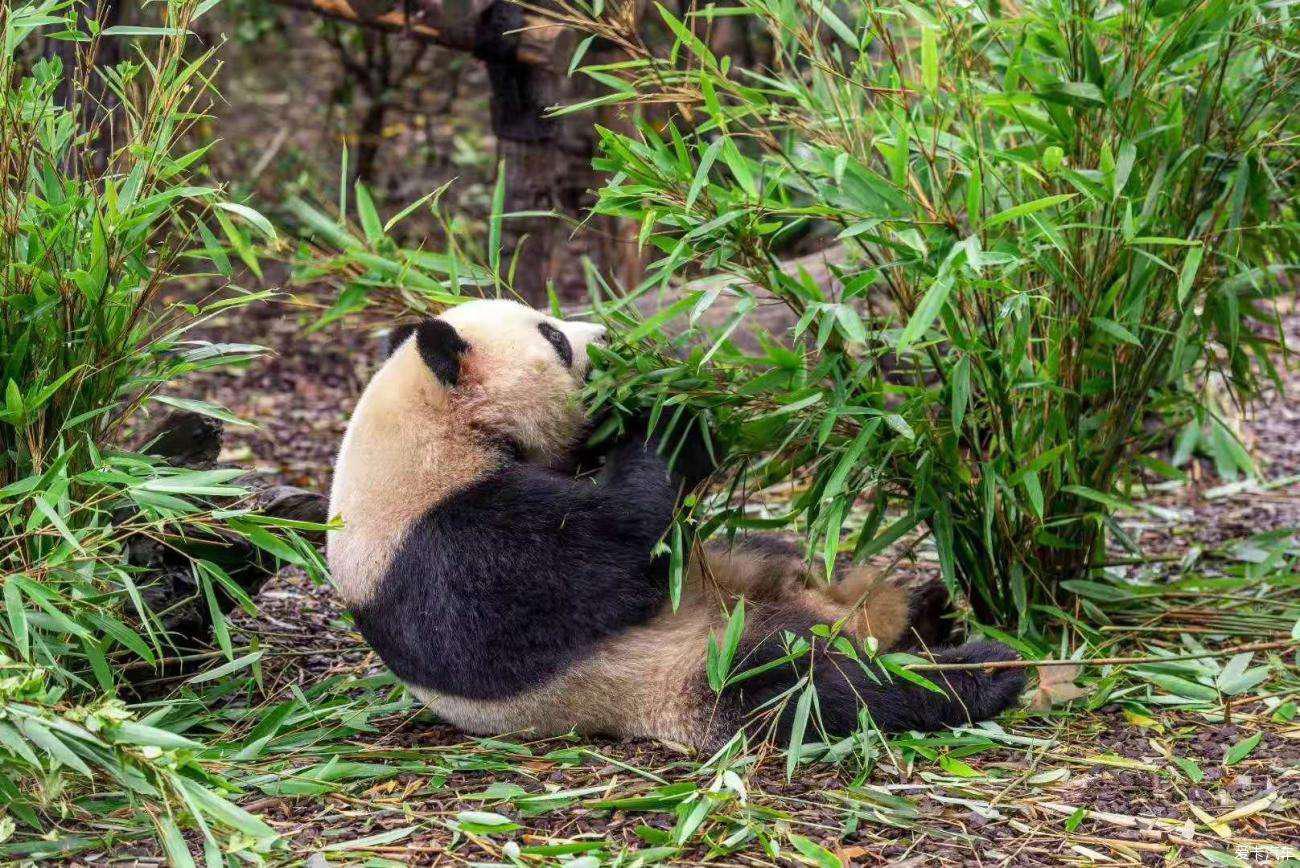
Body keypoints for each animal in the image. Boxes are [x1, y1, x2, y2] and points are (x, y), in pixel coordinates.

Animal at [327, 298, 1024, 753]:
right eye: (555, 338)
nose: (611, 336)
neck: (429, 437)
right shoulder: (448, 548)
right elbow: (619, 549)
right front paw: (673, 404)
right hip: (679, 672)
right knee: (812, 689)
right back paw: (981, 670)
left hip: (743, 577)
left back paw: (924, 609)